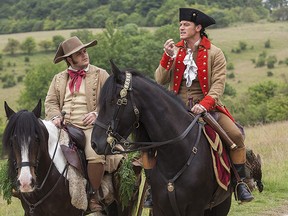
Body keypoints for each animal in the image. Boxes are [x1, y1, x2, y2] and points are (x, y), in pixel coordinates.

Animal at [91, 61, 233, 216]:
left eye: (113, 100)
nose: (94, 143)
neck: (176, 154)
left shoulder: (195, 208)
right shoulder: (160, 208)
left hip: (220, 206)